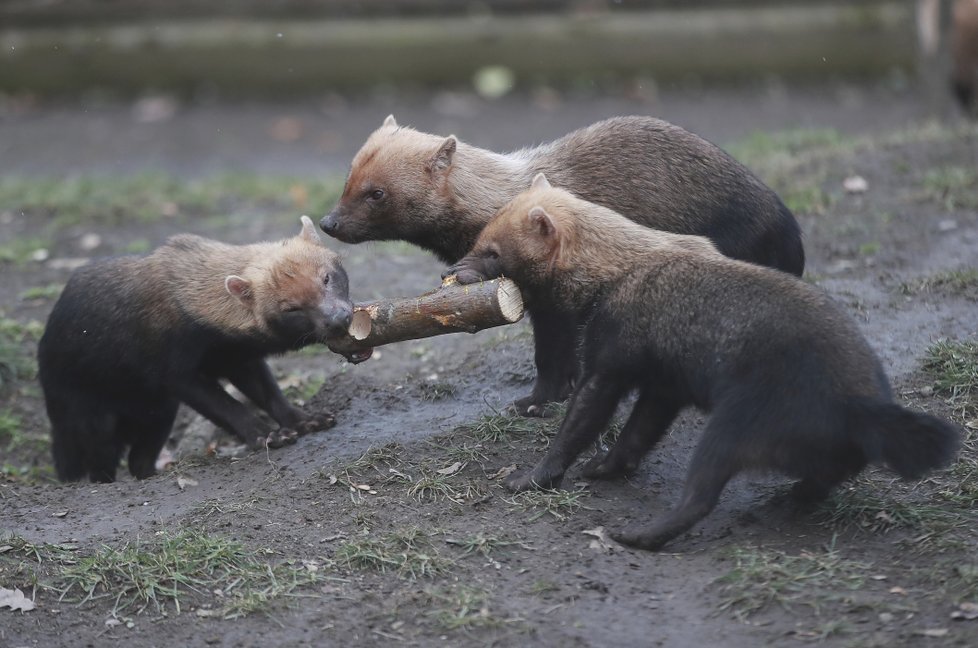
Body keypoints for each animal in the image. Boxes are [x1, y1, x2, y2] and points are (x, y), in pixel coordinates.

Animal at [38, 218, 350, 480]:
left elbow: (269, 393)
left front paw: (306, 421)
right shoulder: (176, 374)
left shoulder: (237, 359)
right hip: (93, 420)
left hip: (158, 414)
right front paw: (267, 435)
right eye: (291, 308)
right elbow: (226, 406)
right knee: (97, 469)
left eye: (326, 277)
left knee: (138, 461)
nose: (339, 318)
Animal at [320, 114, 800, 418]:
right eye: (347, 177)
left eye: (377, 192)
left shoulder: (556, 305)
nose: (329, 222)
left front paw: (535, 403)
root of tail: (784, 222)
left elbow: (553, 358)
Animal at [454, 175, 956, 548]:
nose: (457, 270)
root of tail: (860, 405)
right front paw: (605, 465)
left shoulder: (614, 347)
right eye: (483, 231)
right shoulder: (665, 380)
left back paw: (640, 534)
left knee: (704, 488)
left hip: (744, 418)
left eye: (494, 251)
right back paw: (785, 500)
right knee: (823, 477)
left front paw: (531, 476)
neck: (620, 267)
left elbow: (586, 414)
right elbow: (640, 429)